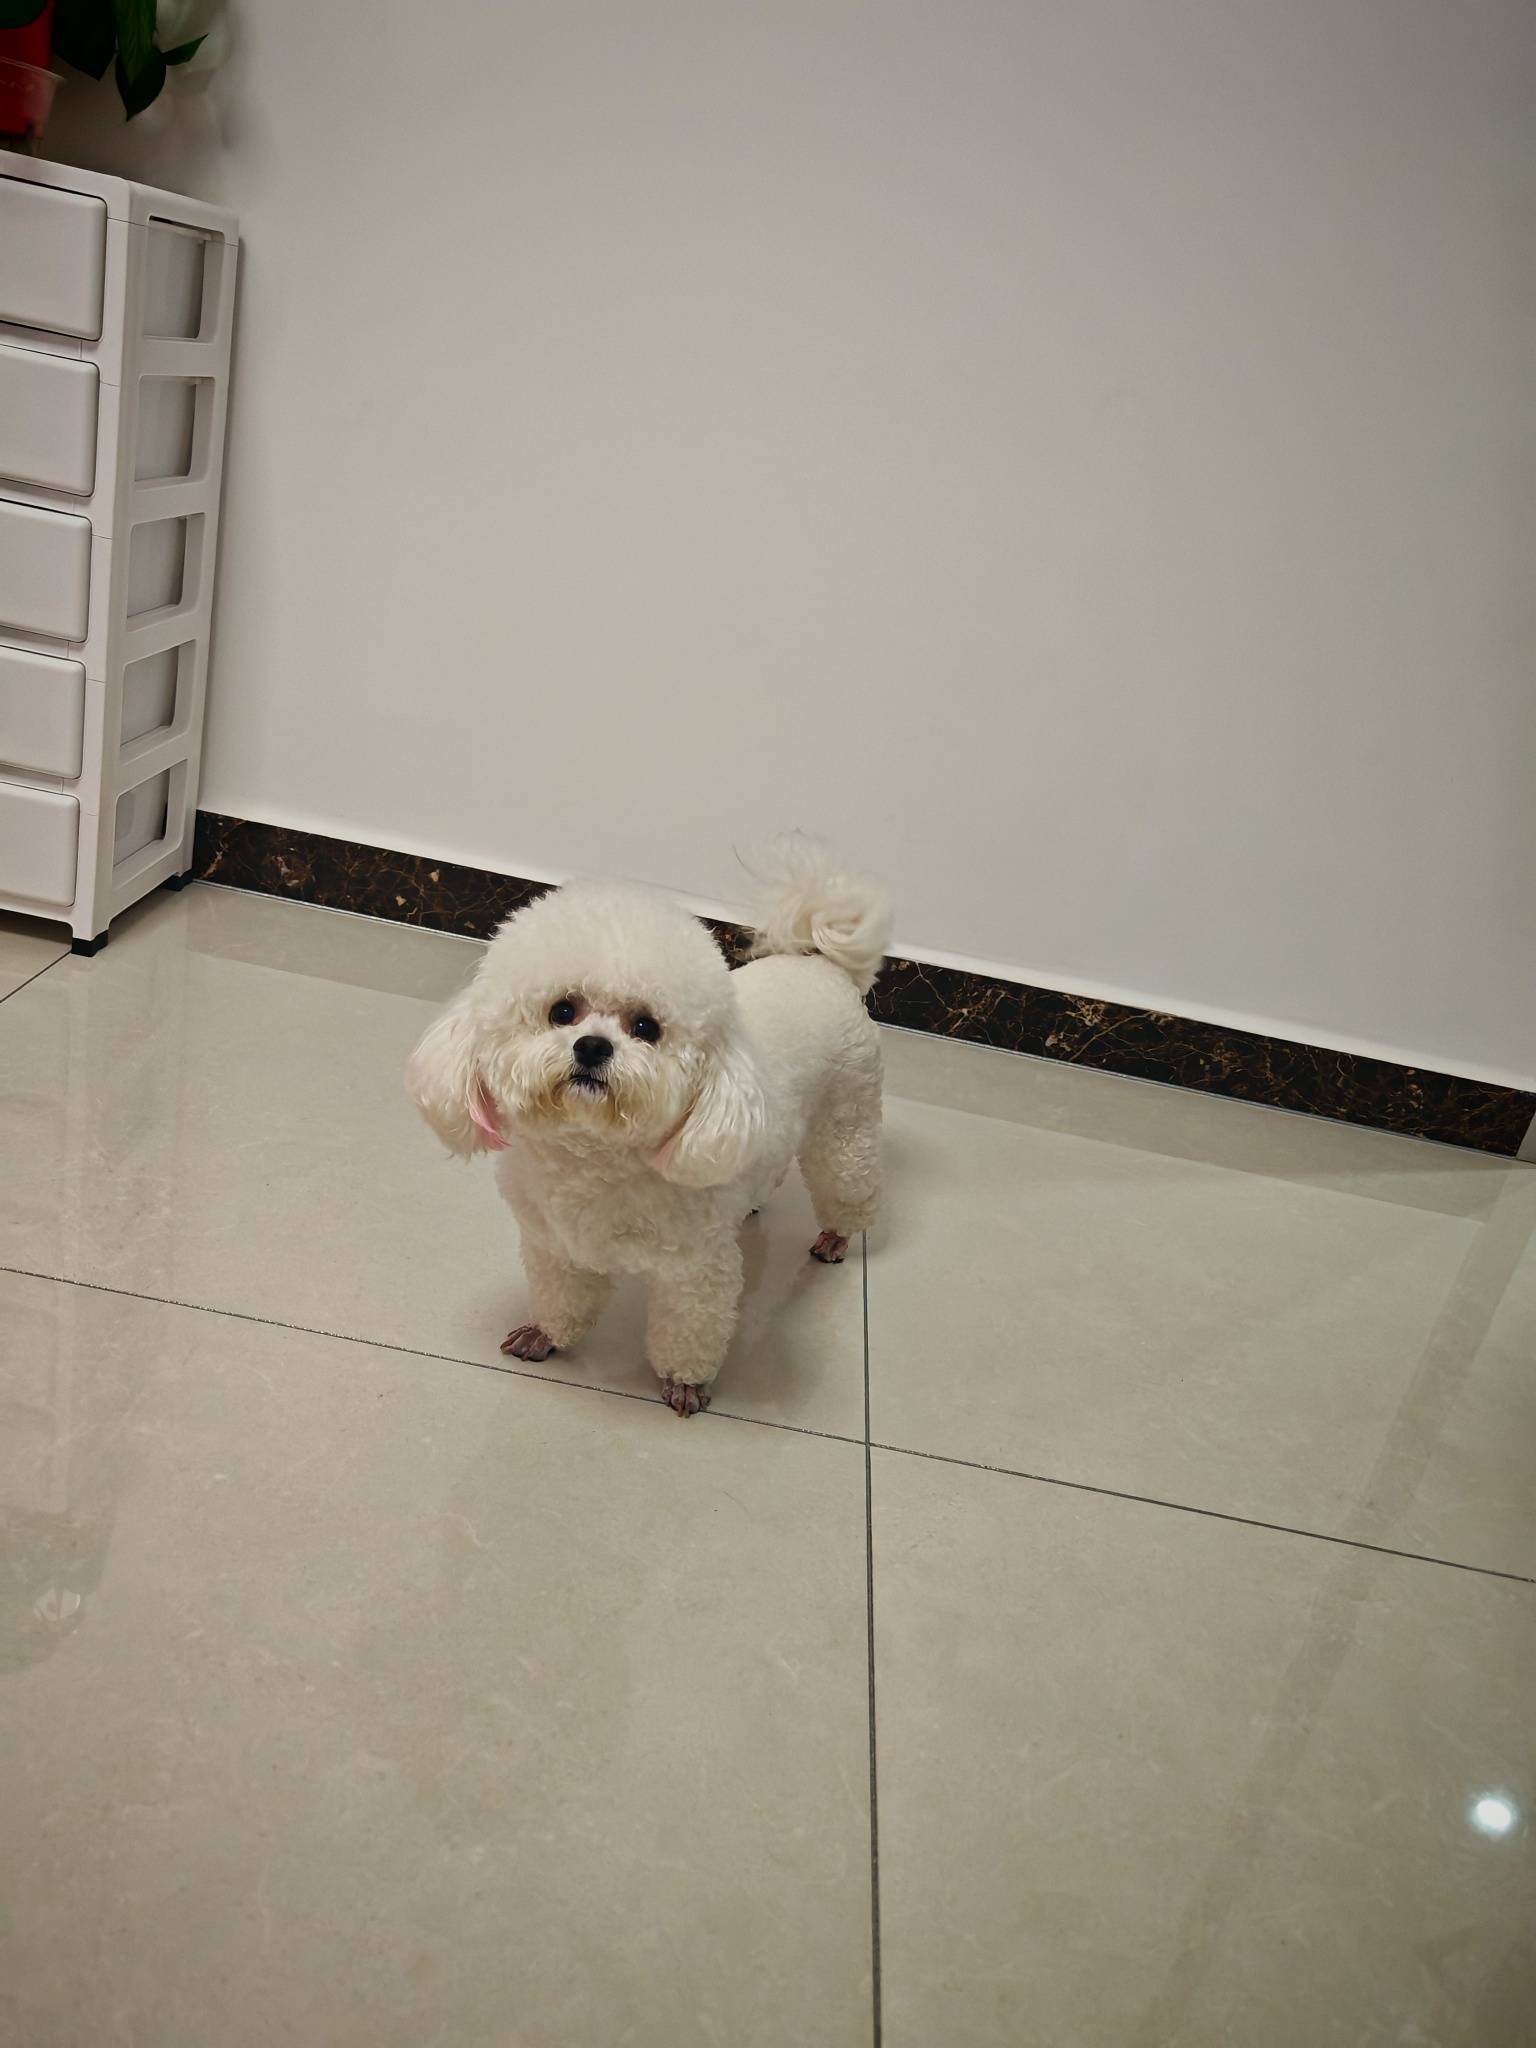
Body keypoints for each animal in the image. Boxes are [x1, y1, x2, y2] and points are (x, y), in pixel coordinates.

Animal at [406, 848, 890, 1415]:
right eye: (562, 1011)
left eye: (646, 1028)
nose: (592, 1046)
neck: (594, 1157)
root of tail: (824, 965)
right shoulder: (555, 1247)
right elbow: (561, 1299)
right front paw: (546, 1335)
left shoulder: (696, 1273)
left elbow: (687, 1332)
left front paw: (685, 1383)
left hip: (846, 1125)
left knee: (849, 1185)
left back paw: (837, 1235)